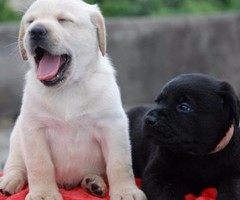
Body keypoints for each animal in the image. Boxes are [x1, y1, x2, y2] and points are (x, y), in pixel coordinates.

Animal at [0, 0, 146, 200]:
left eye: (63, 20)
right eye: (30, 21)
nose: (35, 31)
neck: (67, 89)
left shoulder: (112, 125)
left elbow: (119, 164)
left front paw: (126, 191)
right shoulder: (33, 128)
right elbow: (40, 165)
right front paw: (43, 193)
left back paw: (94, 183)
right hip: (16, 137)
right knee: (16, 165)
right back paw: (10, 180)